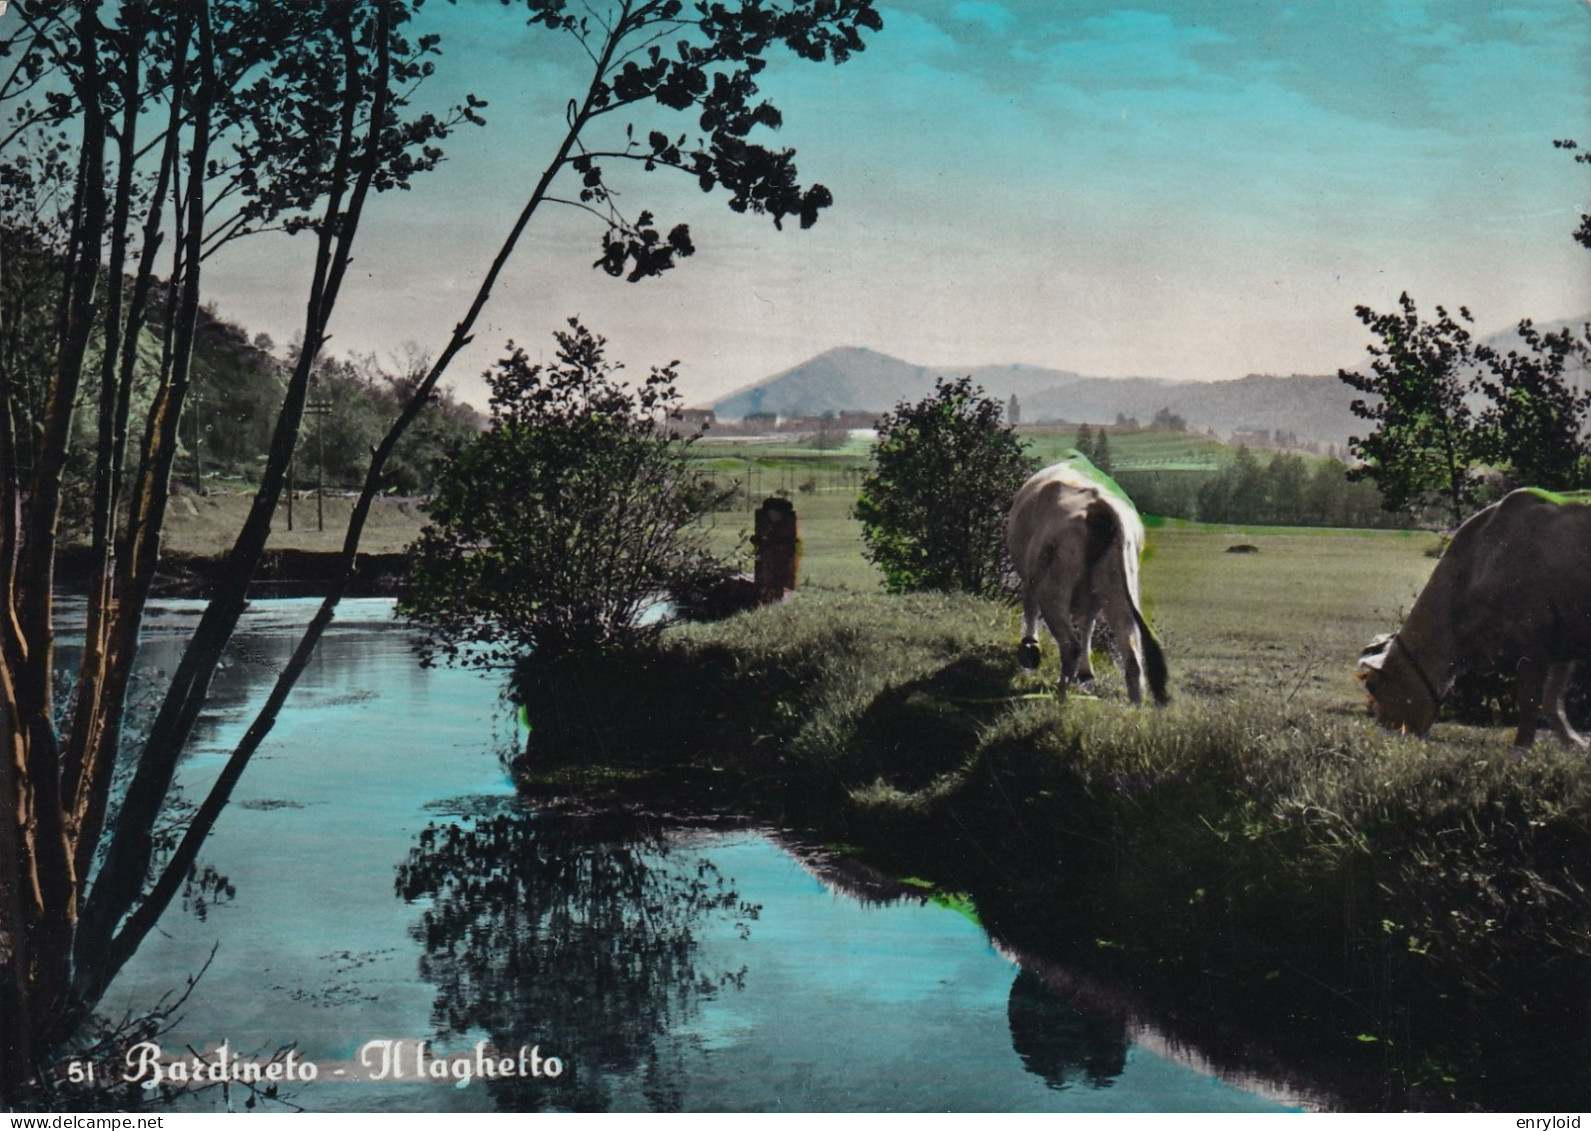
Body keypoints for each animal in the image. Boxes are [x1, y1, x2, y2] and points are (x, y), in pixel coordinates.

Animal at [1005, 454, 1170, 703]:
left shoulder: (1031, 576)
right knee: (1132, 654)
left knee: (1069, 644)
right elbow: (1087, 623)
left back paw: (1061, 693)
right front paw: (1085, 671)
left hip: (1053, 587)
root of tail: (1102, 506)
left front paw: (1029, 649)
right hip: (1118, 586)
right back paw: (1134, 707)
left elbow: (1030, 609)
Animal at [1355, 489, 1591, 747]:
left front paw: (1521, 747)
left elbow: (1530, 700)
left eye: (1372, 685)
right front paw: (1575, 742)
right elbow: (1552, 698)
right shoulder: (1564, 639)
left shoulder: (1533, 632)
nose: (1384, 733)